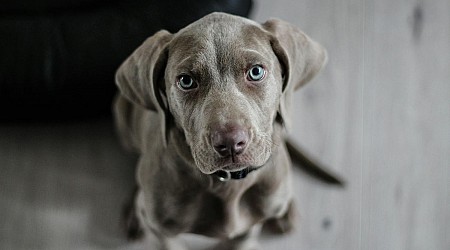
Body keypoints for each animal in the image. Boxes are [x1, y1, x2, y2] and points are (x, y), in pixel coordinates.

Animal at [114, 12, 326, 250]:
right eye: (186, 81)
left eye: (256, 72)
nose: (231, 143)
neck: (228, 184)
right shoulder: (163, 231)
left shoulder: (249, 228)